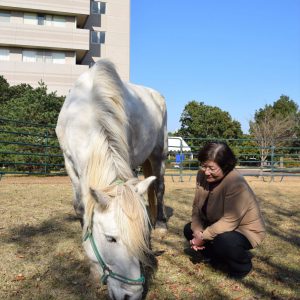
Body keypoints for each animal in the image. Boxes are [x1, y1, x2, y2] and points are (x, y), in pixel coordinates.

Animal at [55, 59, 168, 298]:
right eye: (110, 239)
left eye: (142, 235)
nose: (130, 296)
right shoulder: (69, 162)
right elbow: (81, 208)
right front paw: (93, 264)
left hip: (159, 153)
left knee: (160, 188)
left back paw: (162, 224)